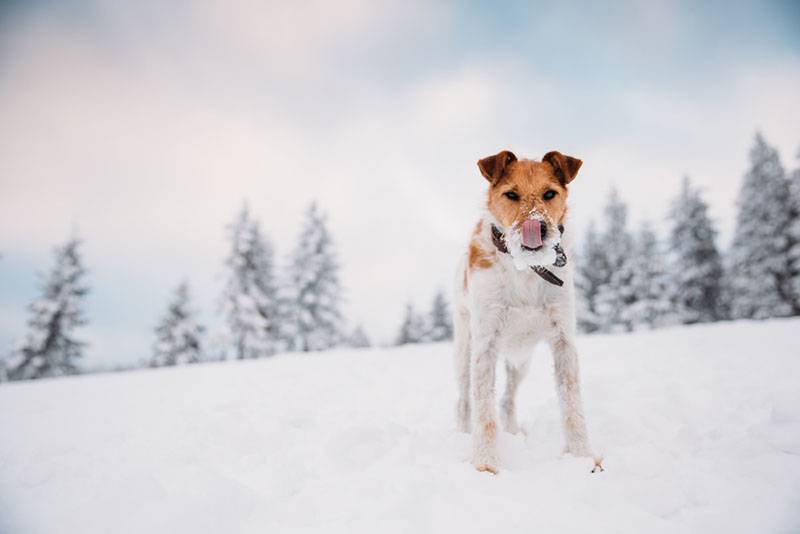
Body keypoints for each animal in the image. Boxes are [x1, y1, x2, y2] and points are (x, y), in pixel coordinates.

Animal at [454, 149, 596, 476]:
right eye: (511, 194)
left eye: (549, 193)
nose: (537, 227)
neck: (525, 269)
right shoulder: (485, 344)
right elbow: (484, 409)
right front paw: (486, 463)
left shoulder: (563, 340)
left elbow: (572, 404)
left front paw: (583, 457)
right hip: (464, 346)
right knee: (464, 399)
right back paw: (461, 434)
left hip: (521, 361)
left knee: (507, 399)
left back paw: (513, 431)